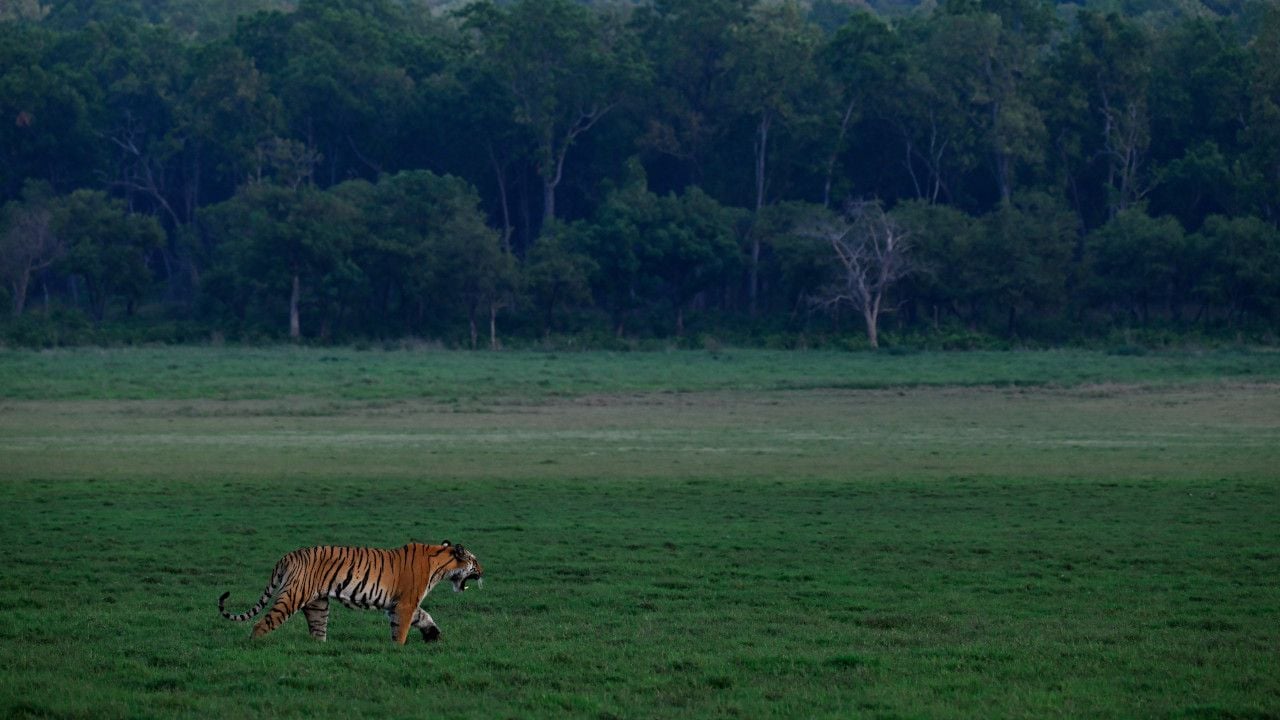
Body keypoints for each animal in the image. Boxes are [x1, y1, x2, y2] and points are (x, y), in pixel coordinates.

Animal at [218, 540, 483, 644]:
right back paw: (255, 645)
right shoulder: (405, 603)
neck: (441, 565)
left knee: (317, 632)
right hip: (292, 596)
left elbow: (424, 616)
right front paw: (398, 648)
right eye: (475, 562)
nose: (483, 571)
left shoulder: (397, 604)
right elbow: (402, 629)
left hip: (318, 605)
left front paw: (434, 635)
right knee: (262, 623)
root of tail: (288, 556)